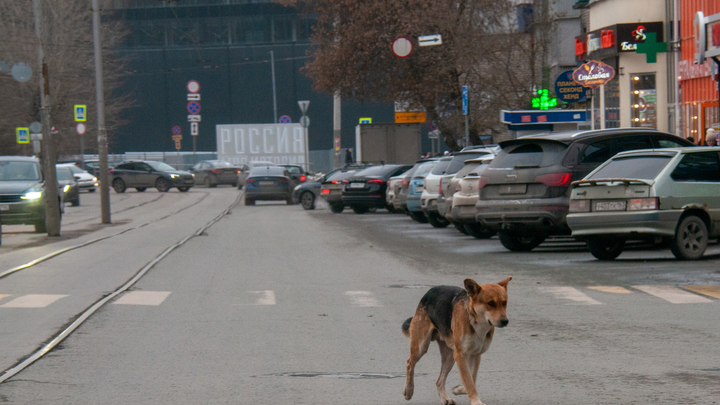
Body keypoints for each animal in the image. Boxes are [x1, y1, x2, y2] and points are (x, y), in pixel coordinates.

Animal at [400, 276, 512, 404]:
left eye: (504, 303)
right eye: (491, 303)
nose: (505, 321)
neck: (476, 321)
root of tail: (428, 293)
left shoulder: (475, 355)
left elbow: (472, 378)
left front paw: (460, 389)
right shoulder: (461, 355)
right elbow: (469, 380)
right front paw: (476, 401)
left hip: (449, 357)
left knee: (439, 381)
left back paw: (445, 398)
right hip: (421, 346)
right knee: (409, 362)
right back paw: (408, 391)